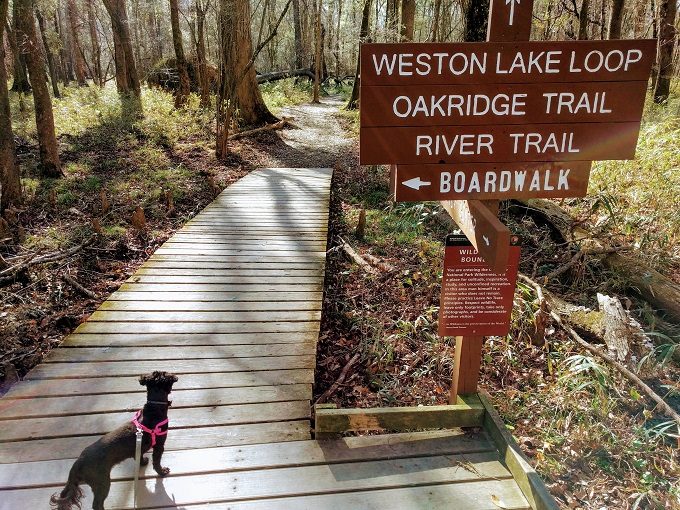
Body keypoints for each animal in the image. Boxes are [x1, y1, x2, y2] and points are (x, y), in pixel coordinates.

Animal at [50, 370, 178, 510]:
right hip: (102, 482)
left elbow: (139, 455)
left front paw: (143, 461)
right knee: (97, 504)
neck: (154, 409)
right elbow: (157, 461)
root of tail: (78, 463)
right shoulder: (160, 445)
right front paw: (162, 471)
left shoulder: (139, 447)